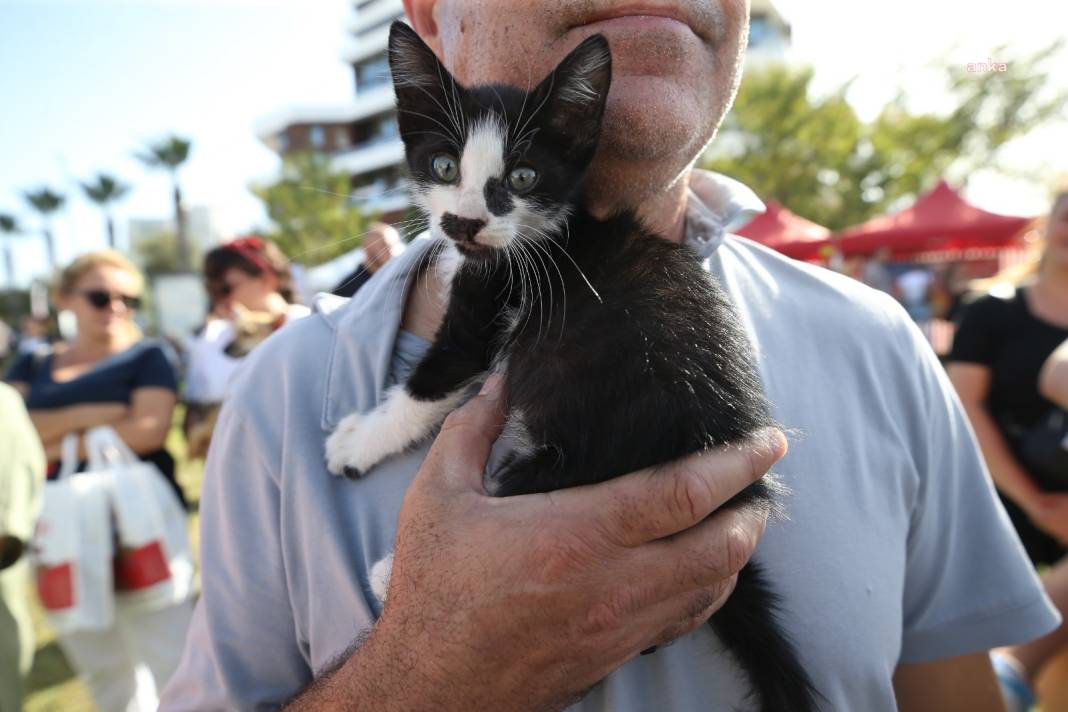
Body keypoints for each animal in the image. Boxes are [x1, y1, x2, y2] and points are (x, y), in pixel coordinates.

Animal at [324, 22, 815, 712]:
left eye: (523, 176)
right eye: (444, 166)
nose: (464, 222)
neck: (542, 238)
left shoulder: (491, 302)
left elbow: (432, 379)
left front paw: (359, 440)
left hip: (597, 448)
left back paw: (395, 573)